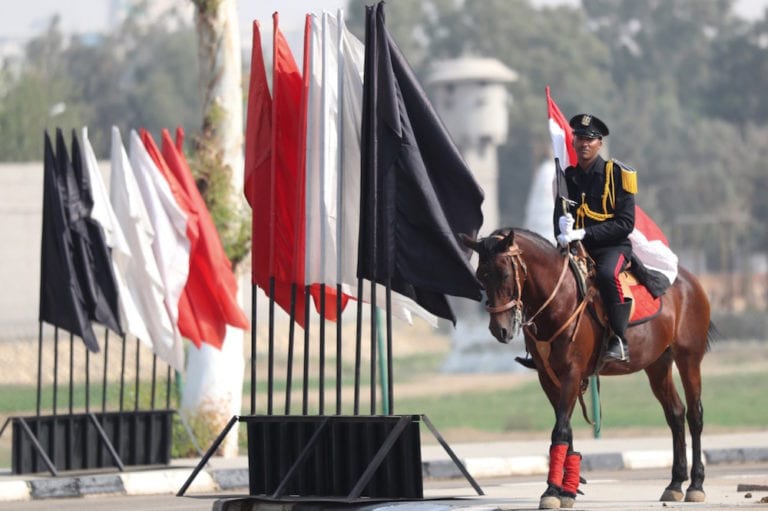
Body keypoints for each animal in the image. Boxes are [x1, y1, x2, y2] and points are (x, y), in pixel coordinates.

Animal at [462, 229, 712, 511]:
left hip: (688, 357)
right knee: (675, 413)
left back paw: (696, 485)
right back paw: (675, 484)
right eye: (481, 275)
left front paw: (552, 491)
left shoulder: (572, 373)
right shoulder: (548, 378)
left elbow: (560, 429)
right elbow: (566, 429)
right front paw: (566, 489)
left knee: (694, 415)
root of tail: (690, 281)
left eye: (504, 274)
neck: (559, 300)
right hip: (657, 364)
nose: (500, 330)